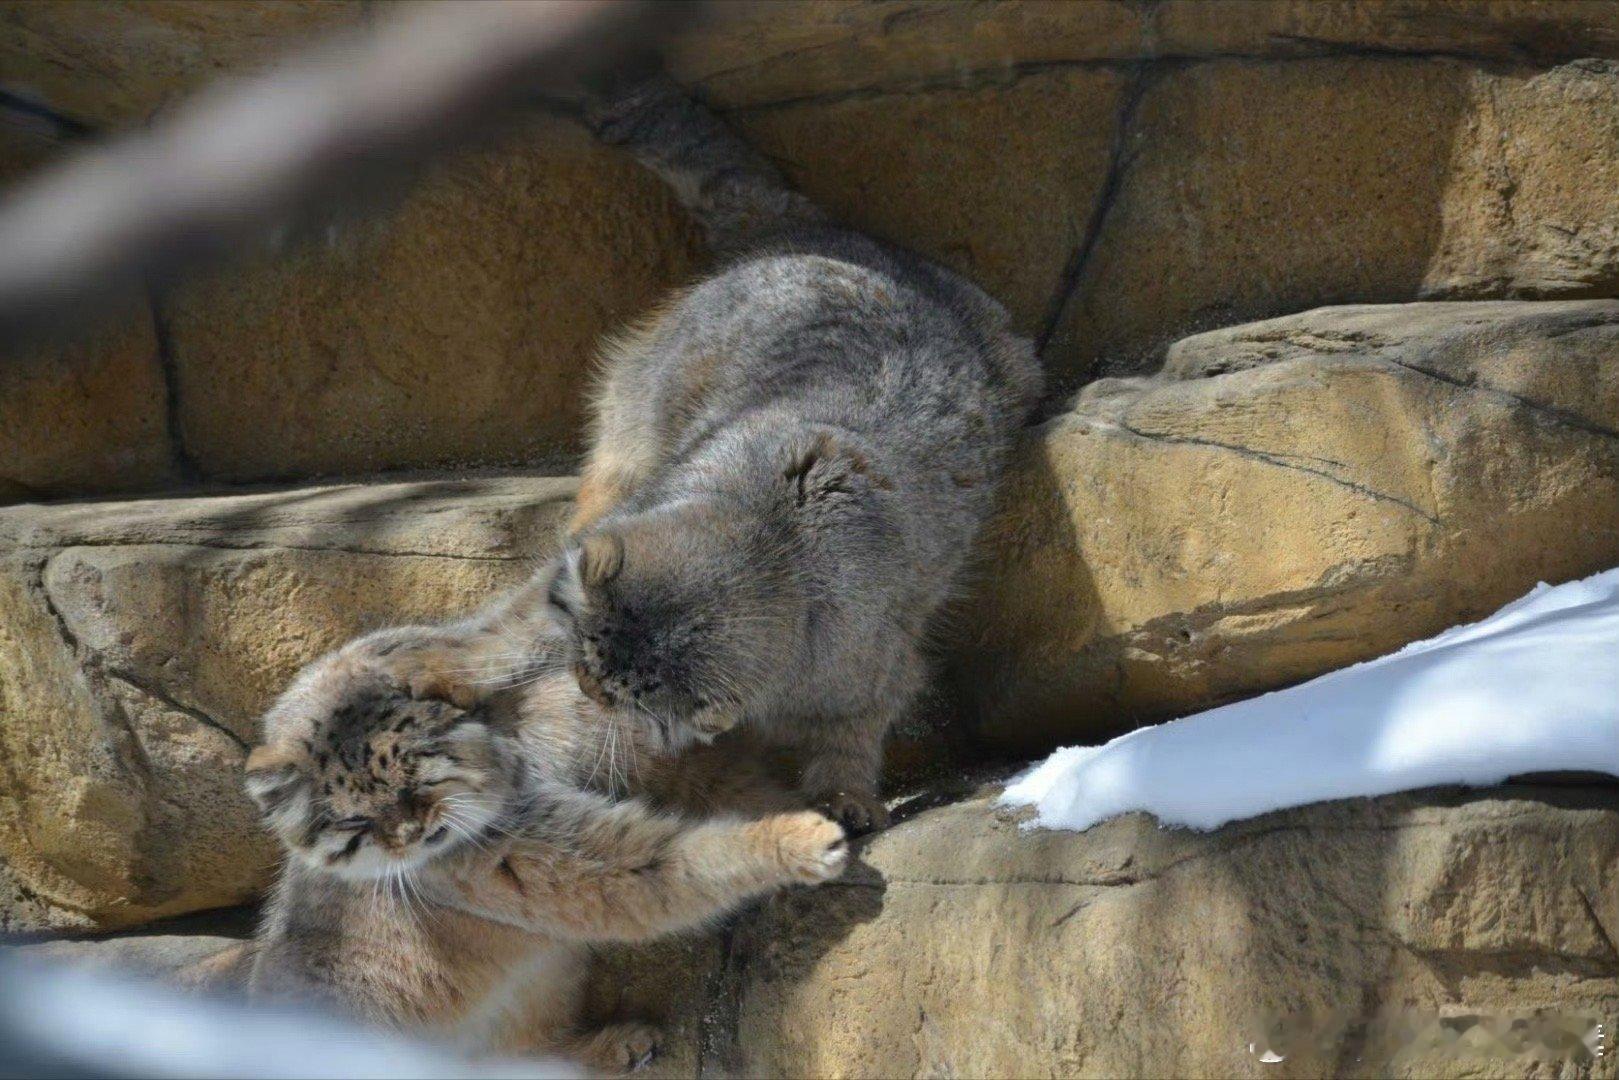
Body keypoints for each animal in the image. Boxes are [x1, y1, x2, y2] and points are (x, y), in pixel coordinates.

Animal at [246, 628, 848, 1075]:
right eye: (355, 821)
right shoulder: (554, 861)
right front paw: (795, 838)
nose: (410, 834)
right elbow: (671, 862)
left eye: (416, 779)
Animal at [550, 76, 1042, 835]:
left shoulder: (869, 664)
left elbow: (852, 731)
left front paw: (845, 793)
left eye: (624, 694)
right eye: (586, 656)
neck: (770, 536)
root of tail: (807, 228)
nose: (585, 689)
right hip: (649, 385)